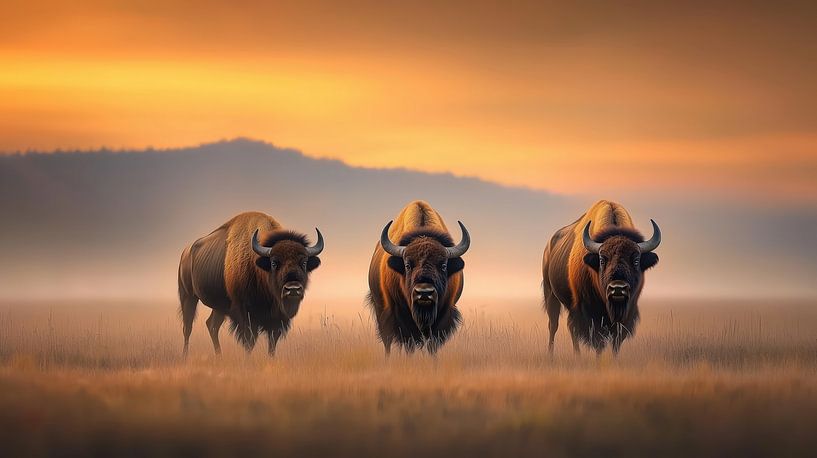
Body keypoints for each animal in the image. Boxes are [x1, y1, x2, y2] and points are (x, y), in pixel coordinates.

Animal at [177, 212, 324, 356]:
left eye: (304, 262)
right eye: (274, 262)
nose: (293, 289)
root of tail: (186, 252)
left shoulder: (277, 319)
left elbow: (272, 343)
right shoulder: (245, 314)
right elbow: (249, 341)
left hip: (219, 306)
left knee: (212, 325)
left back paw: (219, 356)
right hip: (188, 297)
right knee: (187, 327)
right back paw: (185, 356)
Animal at [367, 201, 470, 355]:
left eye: (443, 265)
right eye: (407, 265)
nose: (424, 293)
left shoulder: (443, 315)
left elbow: (432, 344)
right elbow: (408, 342)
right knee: (388, 342)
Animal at [542, 200, 661, 355]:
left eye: (636, 260)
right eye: (602, 259)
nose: (618, 288)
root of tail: (549, 246)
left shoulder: (627, 311)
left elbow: (616, 341)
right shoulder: (590, 312)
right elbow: (598, 341)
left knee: (570, 326)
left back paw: (577, 355)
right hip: (551, 294)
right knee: (553, 325)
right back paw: (553, 355)